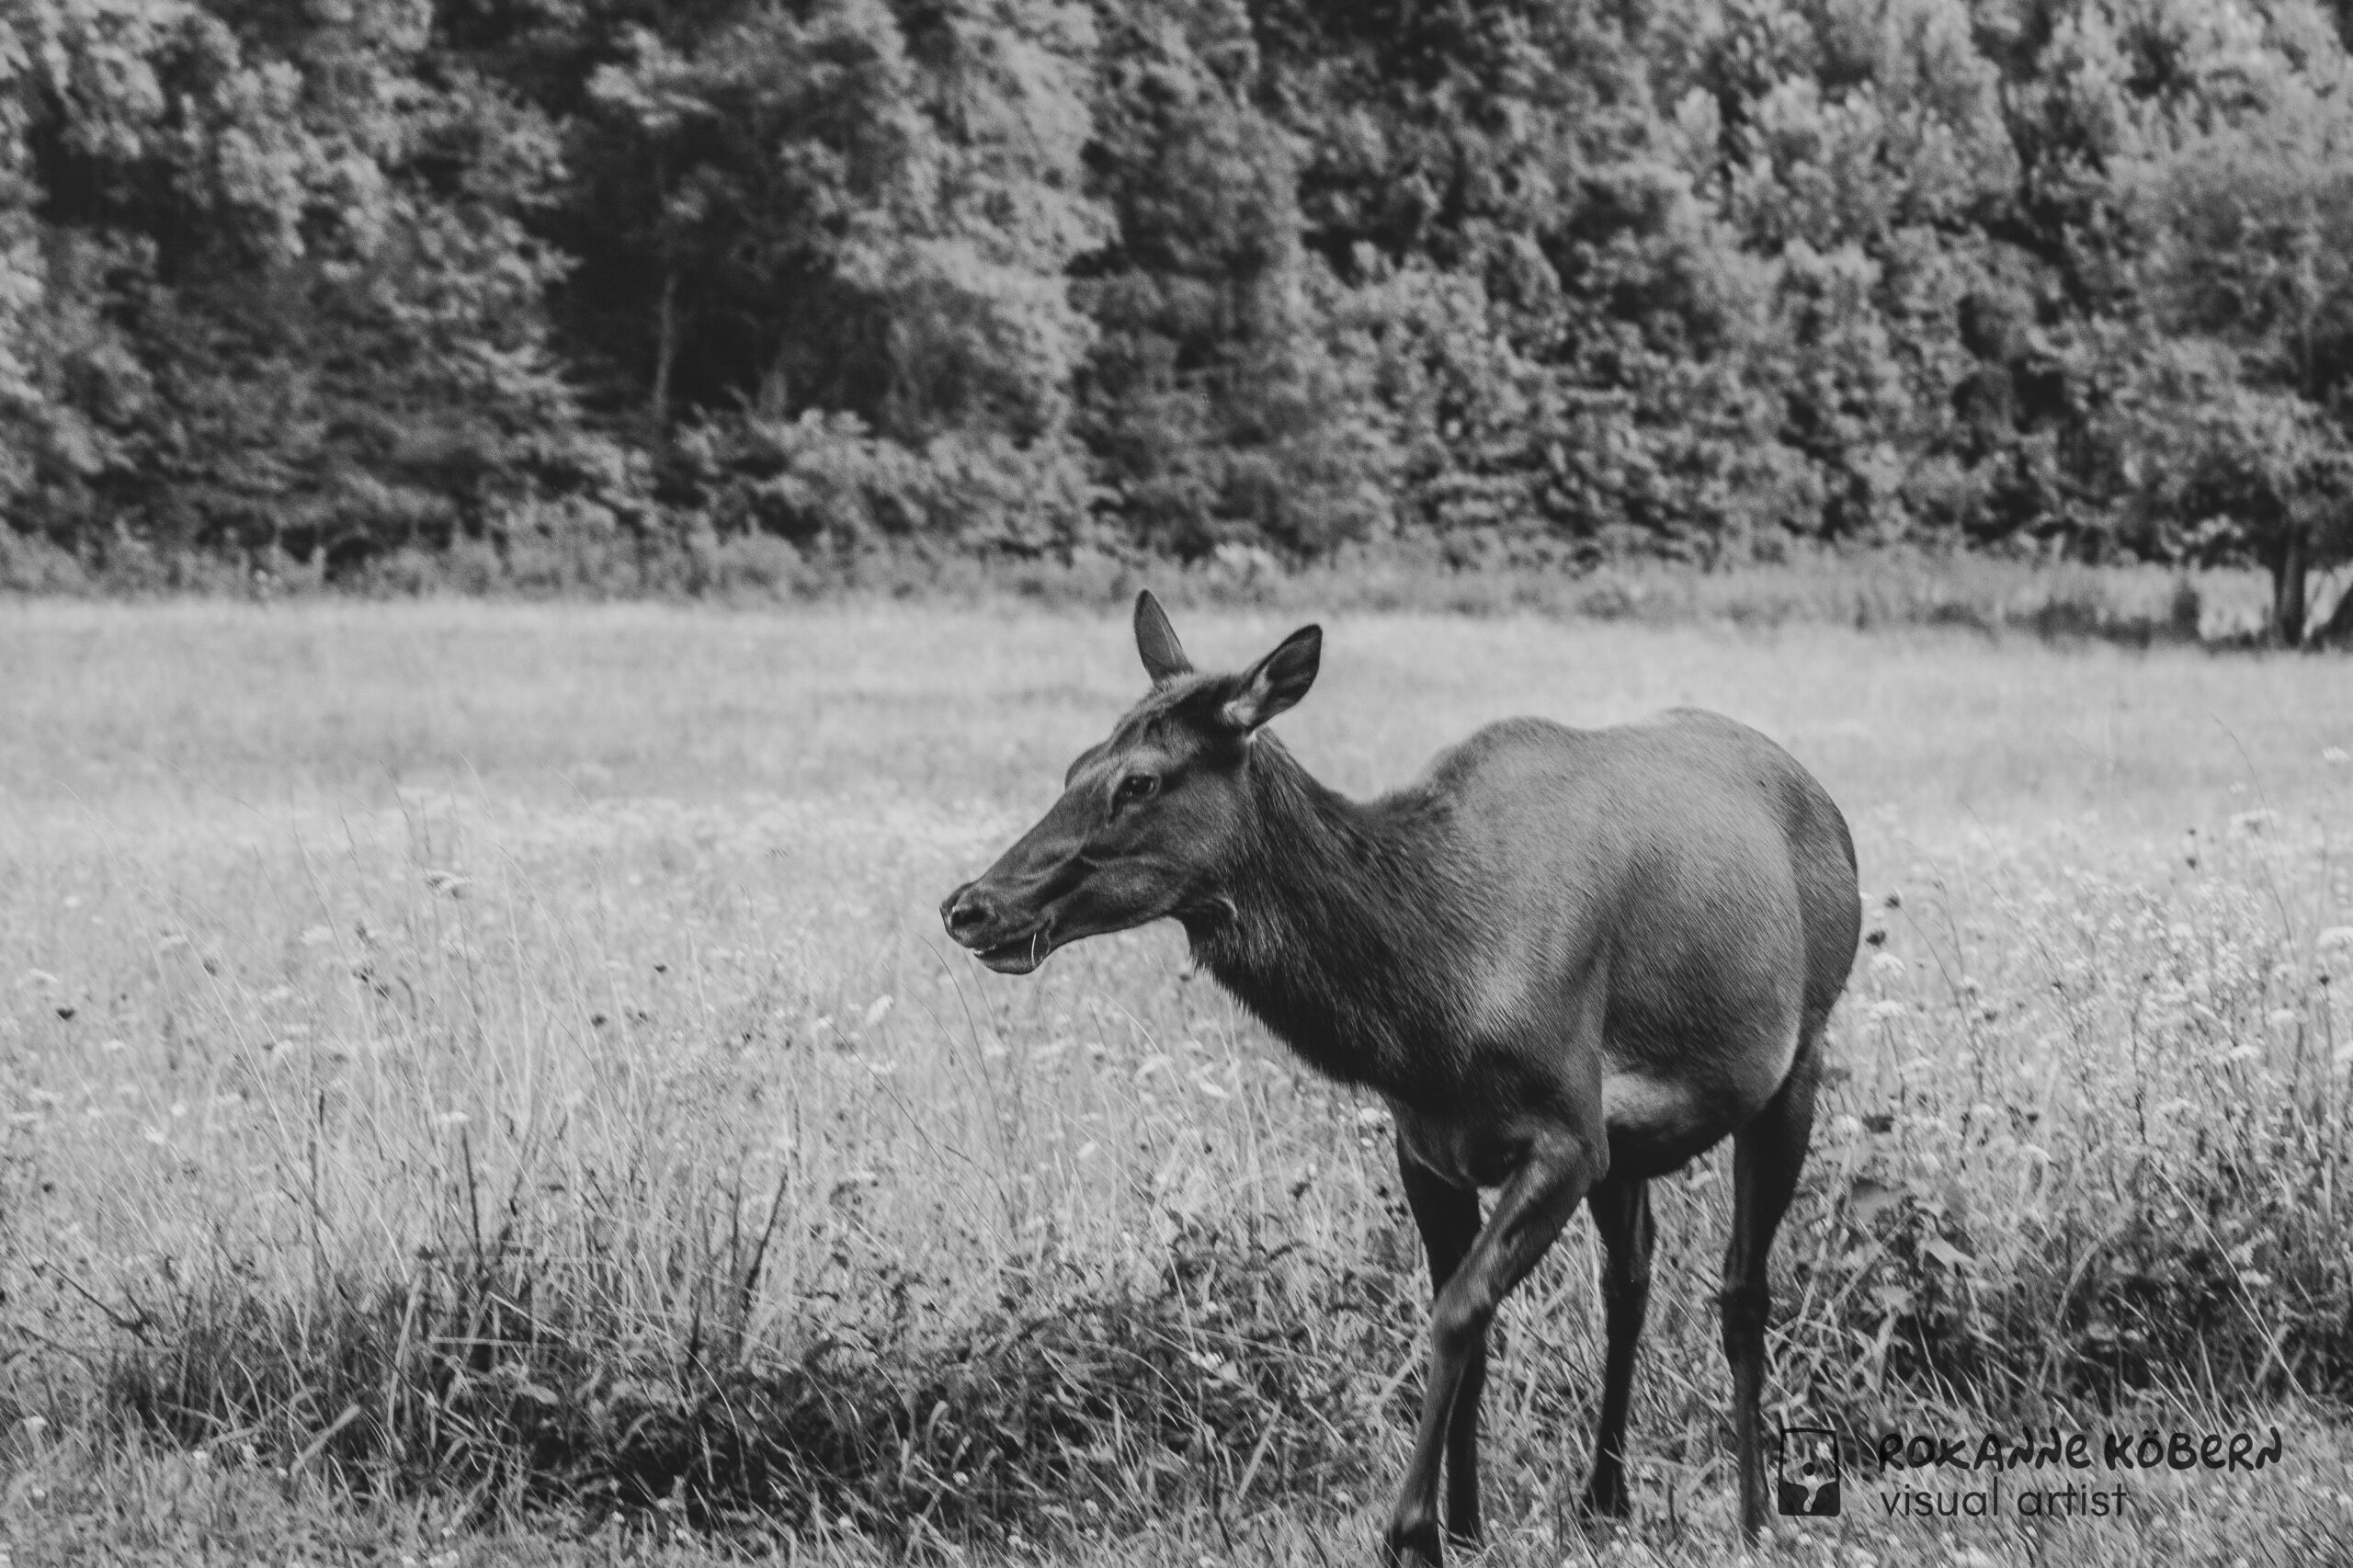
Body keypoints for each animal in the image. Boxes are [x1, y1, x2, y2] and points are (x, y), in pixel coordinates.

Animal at [936, 593, 1854, 1553]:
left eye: (1141, 781)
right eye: (1076, 764)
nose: (970, 906)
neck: (1432, 1011)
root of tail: (1824, 802)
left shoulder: (1567, 1131)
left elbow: (1457, 1313)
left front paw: (1411, 1528)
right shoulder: (1429, 1145)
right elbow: (1469, 1322)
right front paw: (1467, 1526)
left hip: (1800, 1051)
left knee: (1742, 1287)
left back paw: (1755, 1512)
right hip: (1632, 1141)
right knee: (1631, 1275)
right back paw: (1605, 1497)